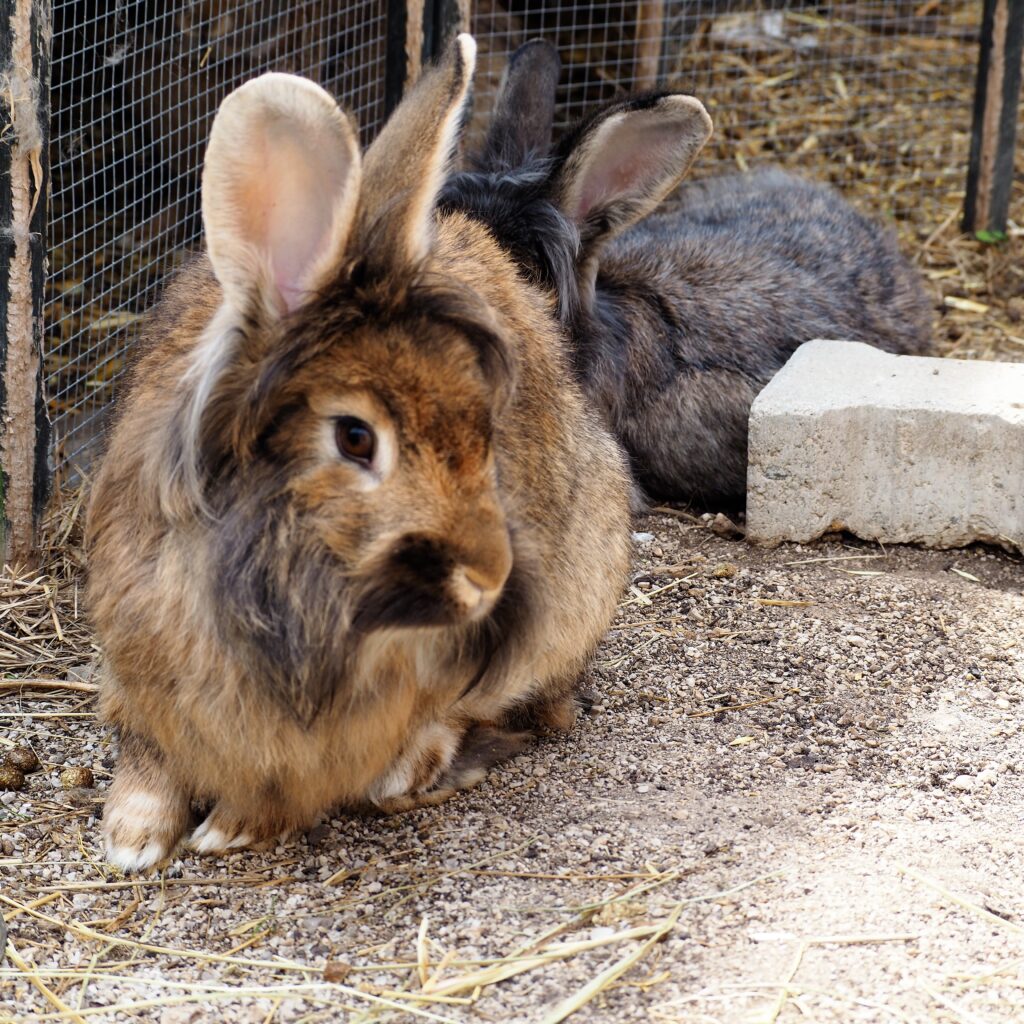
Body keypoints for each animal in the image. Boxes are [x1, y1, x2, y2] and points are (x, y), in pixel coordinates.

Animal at [85, 35, 632, 872]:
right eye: (354, 437)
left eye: (486, 428)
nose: (490, 575)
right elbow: (150, 750)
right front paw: (133, 837)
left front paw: (233, 827)